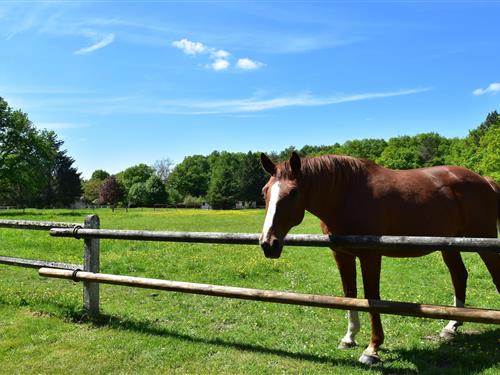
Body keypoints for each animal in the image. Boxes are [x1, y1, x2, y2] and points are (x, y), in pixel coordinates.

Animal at [258, 151, 500, 366]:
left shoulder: (371, 255)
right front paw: (349, 338)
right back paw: (451, 326)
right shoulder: (342, 254)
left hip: (484, 241)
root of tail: (485, 181)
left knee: (492, 276)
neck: (346, 195)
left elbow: (372, 298)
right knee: (459, 275)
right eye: (264, 191)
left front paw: (372, 349)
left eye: (293, 192)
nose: (268, 244)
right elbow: (350, 294)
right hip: (449, 244)